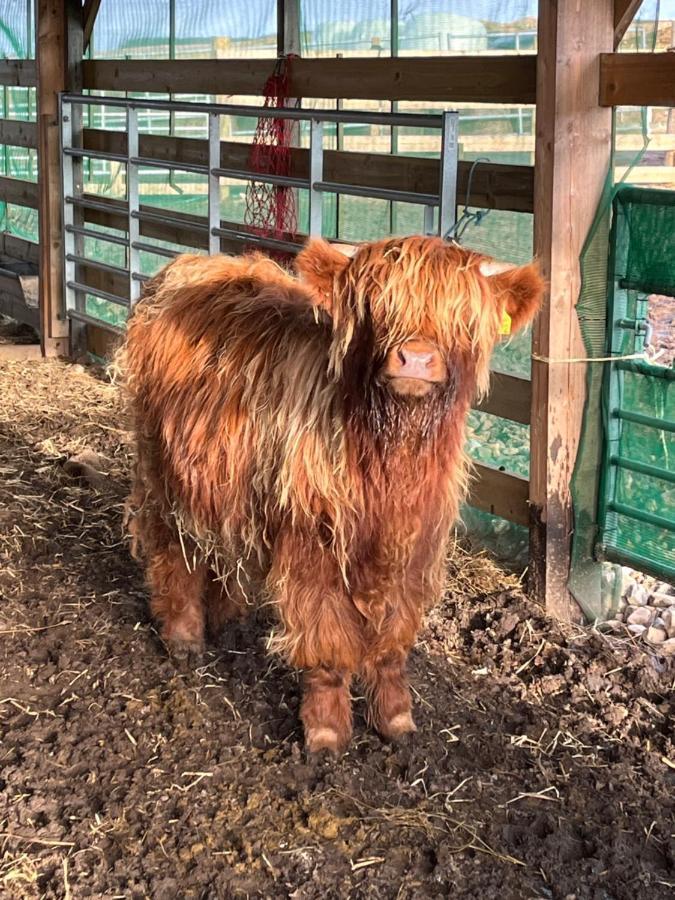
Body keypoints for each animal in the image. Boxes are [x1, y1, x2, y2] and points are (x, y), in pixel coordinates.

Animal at [119, 234, 544, 752]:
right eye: (377, 307)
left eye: (460, 316)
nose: (416, 359)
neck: (389, 459)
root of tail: (188, 266)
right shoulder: (314, 543)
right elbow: (326, 641)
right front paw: (325, 730)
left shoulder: (415, 544)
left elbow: (392, 643)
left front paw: (395, 718)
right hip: (164, 470)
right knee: (173, 547)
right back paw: (183, 636)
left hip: (223, 480)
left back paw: (227, 617)